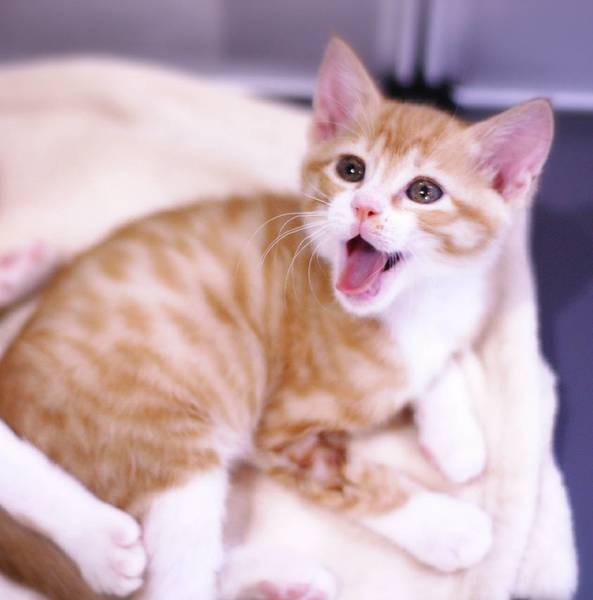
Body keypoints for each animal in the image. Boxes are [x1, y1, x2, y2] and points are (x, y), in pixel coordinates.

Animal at [0, 37, 552, 600]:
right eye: (351, 169)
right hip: (168, 440)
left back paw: (285, 578)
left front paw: (456, 438)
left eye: (424, 192)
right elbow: (355, 477)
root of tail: (11, 370)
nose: (365, 207)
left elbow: (443, 362)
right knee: (171, 582)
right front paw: (447, 526)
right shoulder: (285, 432)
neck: (412, 304)